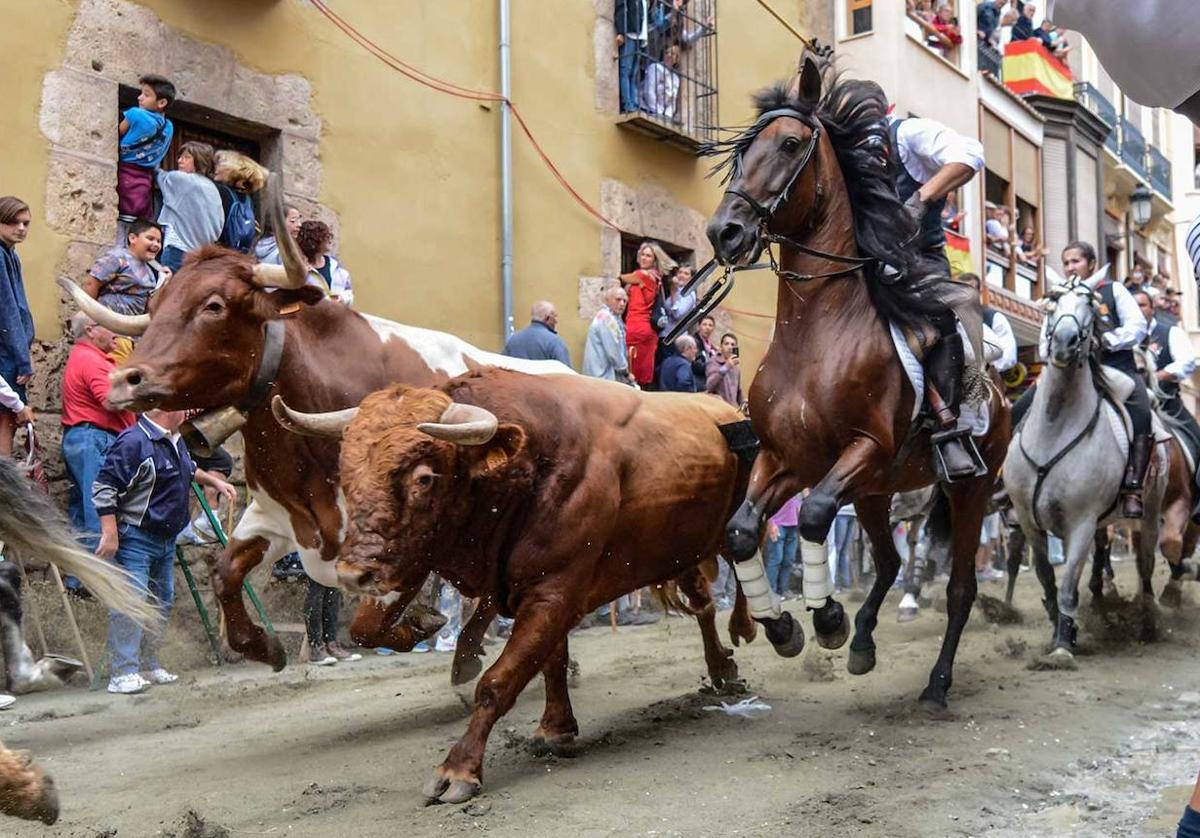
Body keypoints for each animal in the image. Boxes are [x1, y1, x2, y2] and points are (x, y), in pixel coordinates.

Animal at [700, 57, 1008, 710]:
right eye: (741, 151)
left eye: (790, 144)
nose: (725, 233)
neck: (815, 336)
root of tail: (1000, 390)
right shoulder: (788, 457)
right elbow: (741, 531)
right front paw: (784, 626)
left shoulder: (865, 449)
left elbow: (815, 516)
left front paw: (825, 618)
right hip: (874, 494)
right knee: (888, 563)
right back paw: (865, 640)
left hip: (968, 488)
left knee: (959, 588)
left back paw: (936, 683)